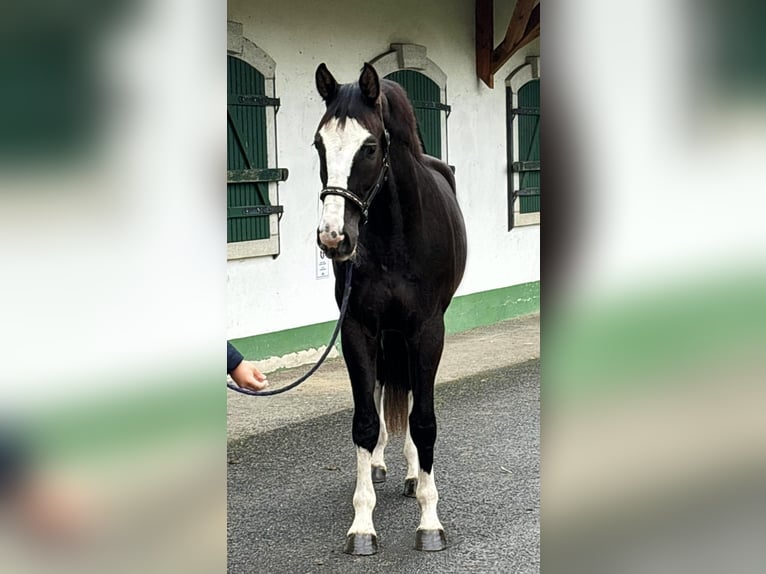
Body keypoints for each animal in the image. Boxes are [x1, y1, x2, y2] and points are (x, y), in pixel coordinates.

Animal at [314, 64, 468, 560]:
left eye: (369, 146)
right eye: (319, 144)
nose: (333, 237)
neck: (393, 238)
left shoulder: (427, 331)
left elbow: (423, 421)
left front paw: (430, 520)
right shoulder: (357, 328)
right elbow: (365, 421)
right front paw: (362, 525)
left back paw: (413, 473)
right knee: (383, 390)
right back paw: (383, 465)